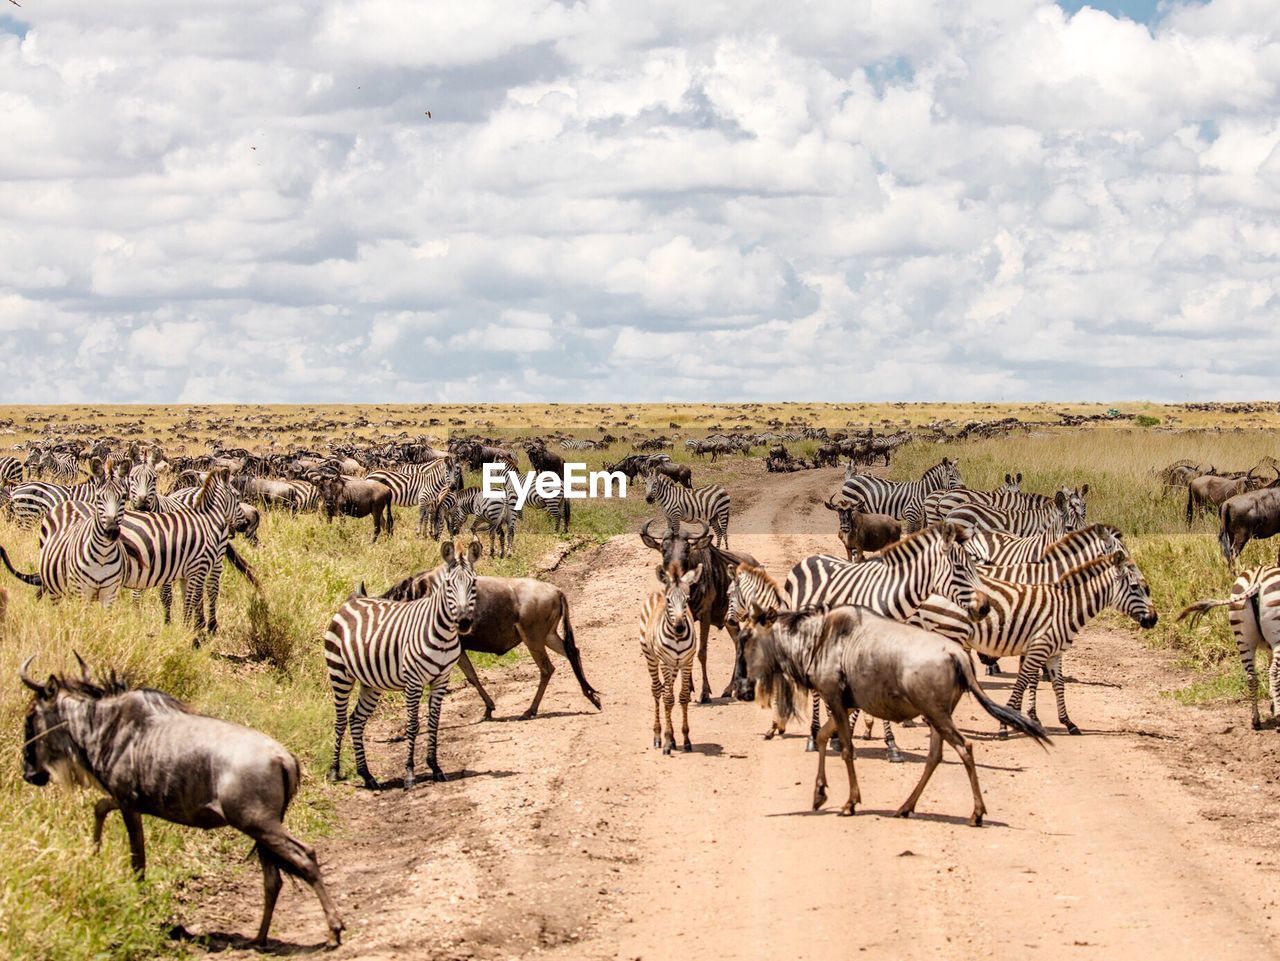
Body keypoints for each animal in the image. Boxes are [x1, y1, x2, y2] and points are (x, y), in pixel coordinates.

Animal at [322, 537, 481, 793]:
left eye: (473, 584)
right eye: (449, 585)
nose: (464, 622)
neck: (443, 633)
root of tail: (352, 600)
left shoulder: (440, 680)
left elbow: (434, 722)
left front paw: (436, 768)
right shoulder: (413, 682)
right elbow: (413, 725)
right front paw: (409, 774)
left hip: (371, 683)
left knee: (356, 720)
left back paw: (367, 776)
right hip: (339, 672)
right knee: (340, 720)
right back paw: (335, 771)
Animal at [637, 560, 701, 757]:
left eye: (687, 600)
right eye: (668, 601)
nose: (680, 628)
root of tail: (660, 589)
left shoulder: (687, 663)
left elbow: (682, 697)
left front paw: (685, 740)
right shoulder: (665, 663)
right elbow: (668, 699)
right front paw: (665, 741)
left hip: (674, 666)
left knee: (667, 689)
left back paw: (672, 739)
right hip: (651, 657)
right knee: (658, 690)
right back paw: (658, 736)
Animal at [916, 547, 1157, 737]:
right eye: (1135, 587)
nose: (1154, 619)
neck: (1068, 607)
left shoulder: (1054, 653)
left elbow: (1058, 685)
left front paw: (1068, 723)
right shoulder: (1038, 648)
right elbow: (1022, 682)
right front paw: (1005, 725)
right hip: (951, 632)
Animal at [1177, 563, 1280, 726]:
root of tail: (1257, 579)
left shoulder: (1269, 648)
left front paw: (1272, 705)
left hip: (1243, 638)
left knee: (1251, 676)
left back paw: (1255, 719)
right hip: (1275, 637)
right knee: (1274, 673)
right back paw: (1276, 715)